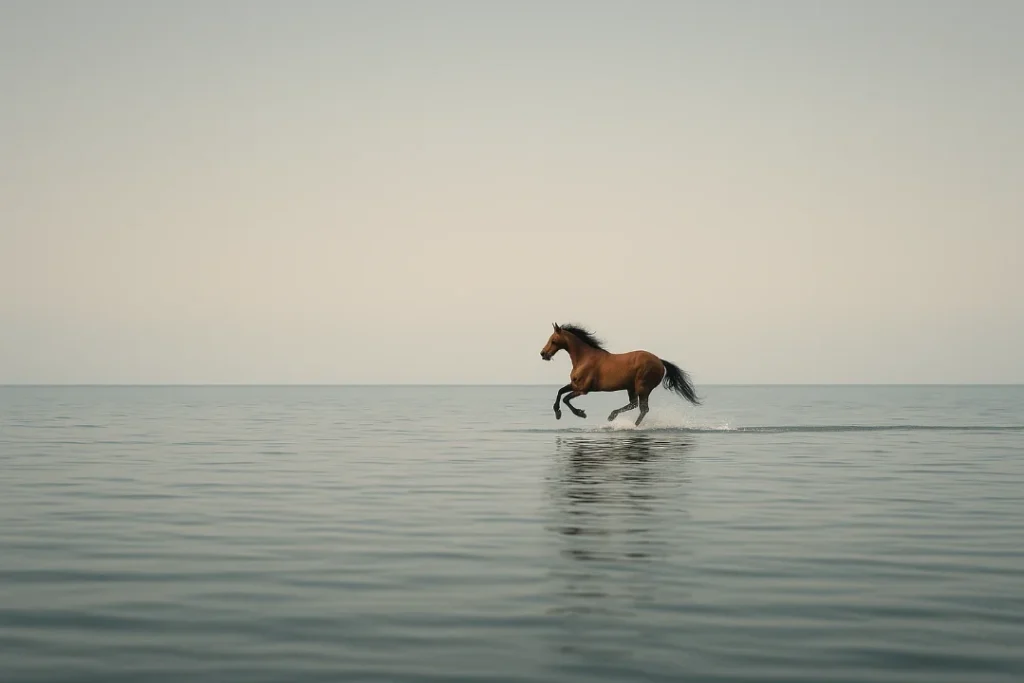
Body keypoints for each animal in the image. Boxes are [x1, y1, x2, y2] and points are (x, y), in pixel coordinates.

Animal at [539, 323, 700, 426]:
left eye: (553, 340)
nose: (543, 354)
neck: (584, 358)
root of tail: (660, 361)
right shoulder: (575, 385)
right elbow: (560, 392)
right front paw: (557, 413)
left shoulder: (583, 389)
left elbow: (566, 398)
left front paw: (581, 413)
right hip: (631, 387)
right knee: (634, 404)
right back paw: (613, 416)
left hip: (643, 387)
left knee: (643, 408)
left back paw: (632, 425)